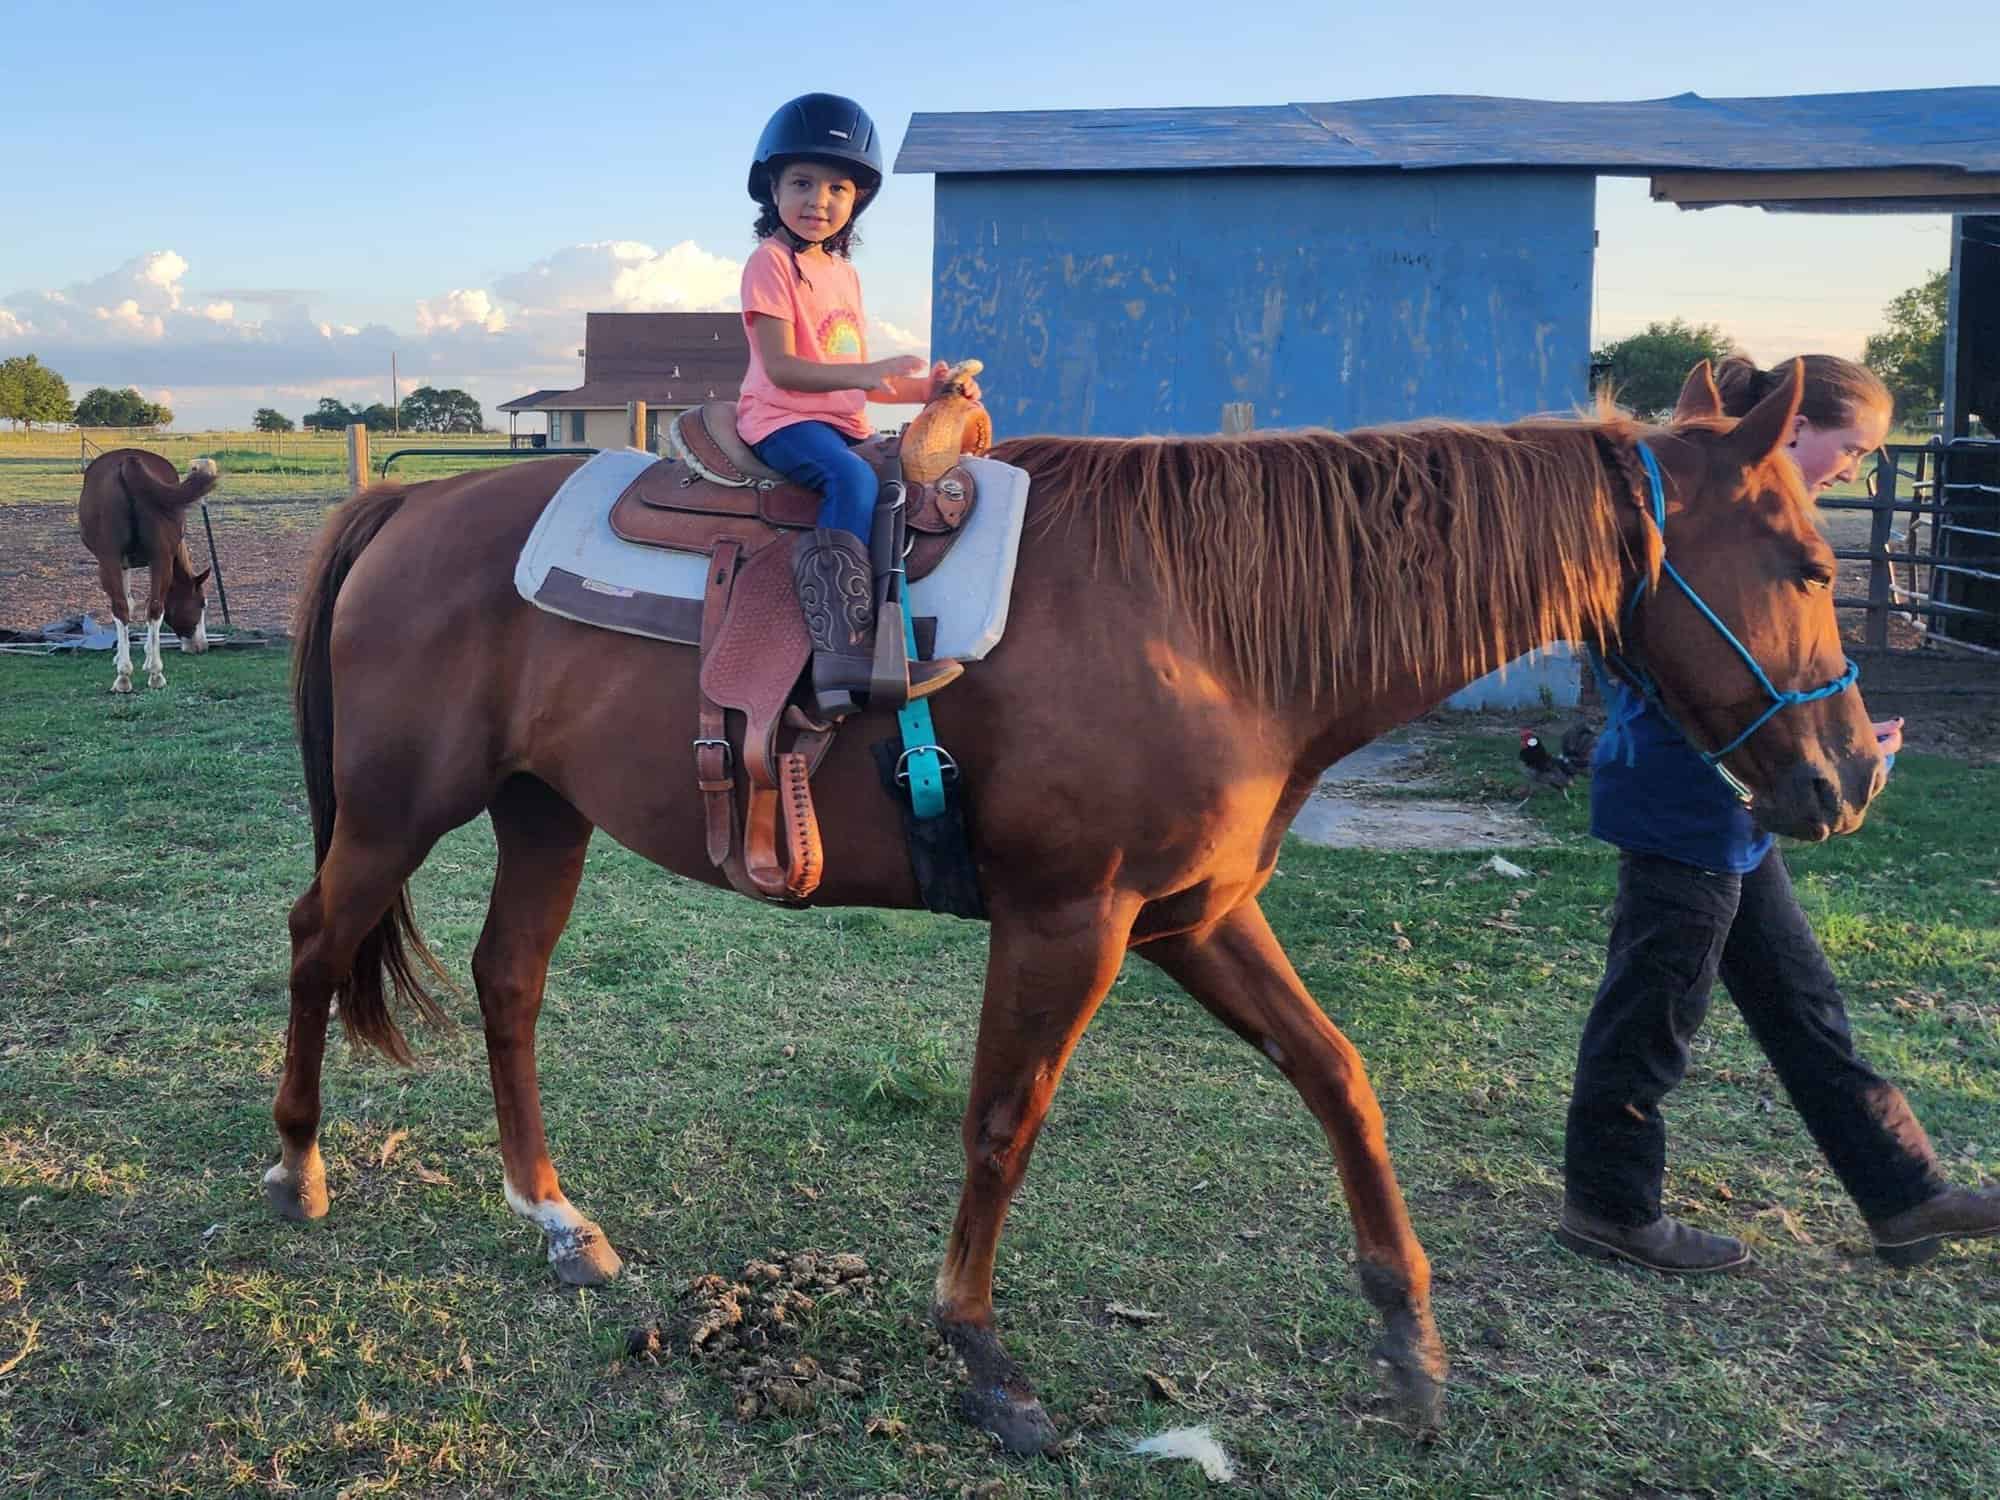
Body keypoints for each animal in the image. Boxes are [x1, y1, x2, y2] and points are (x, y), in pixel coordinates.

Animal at [77, 450, 214, 696]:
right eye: (202, 604)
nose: (201, 646)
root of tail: (129, 461)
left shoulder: (125, 564)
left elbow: (132, 604)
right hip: (155, 559)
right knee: (152, 608)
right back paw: (148, 674)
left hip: (113, 560)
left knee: (129, 608)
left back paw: (132, 676)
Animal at [262, 364, 1872, 1456]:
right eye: (1807, 563)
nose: (1849, 776)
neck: (1204, 619)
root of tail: (408, 500)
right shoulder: (1071, 922)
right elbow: (1002, 1121)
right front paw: (982, 1359)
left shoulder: (1189, 917)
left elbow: (1337, 1075)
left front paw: (1408, 1337)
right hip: (399, 814)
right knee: (316, 941)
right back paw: (298, 1169)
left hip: (543, 813)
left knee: (508, 981)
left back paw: (554, 1219)